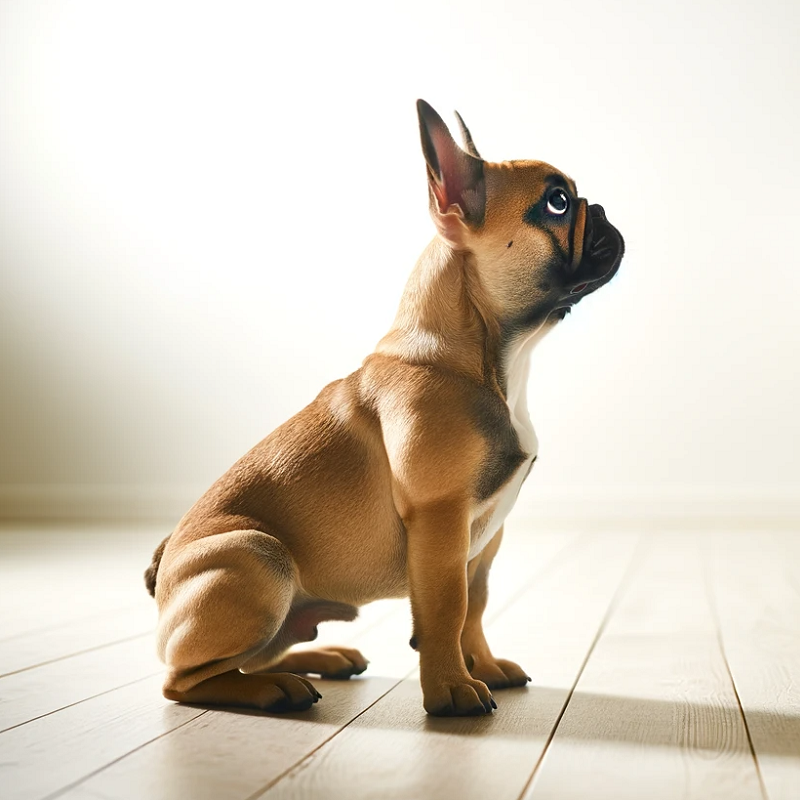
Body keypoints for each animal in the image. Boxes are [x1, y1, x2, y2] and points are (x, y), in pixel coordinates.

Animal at [147, 100, 628, 720]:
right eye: (558, 203)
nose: (603, 209)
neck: (488, 359)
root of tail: (162, 574)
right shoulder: (441, 517)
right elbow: (447, 608)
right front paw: (451, 690)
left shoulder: (484, 538)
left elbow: (476, 605)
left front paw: (484, 668)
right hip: (256, 557)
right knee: (183, 680)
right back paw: (273, 689)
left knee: (245, 659)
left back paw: (319, 659)